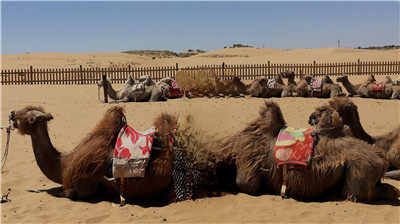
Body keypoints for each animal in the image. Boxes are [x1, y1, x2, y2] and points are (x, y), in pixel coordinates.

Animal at [214, 100, 398, 202]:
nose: (311, 117)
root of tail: (382, 159)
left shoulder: (248, 161)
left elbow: (245, 184)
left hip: (360, 170)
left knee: (359, 193)